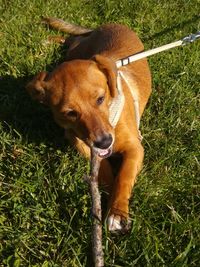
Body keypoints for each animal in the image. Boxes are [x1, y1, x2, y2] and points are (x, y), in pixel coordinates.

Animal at [27, 18, 152, 232]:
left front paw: (117, 212)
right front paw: (107, 195)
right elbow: (105, 171)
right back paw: (50, 39)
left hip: (79, 49)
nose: (104, 142)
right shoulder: (79, 142)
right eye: (70, 113)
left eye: (101, 99)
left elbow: (124, 176)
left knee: (73, 39)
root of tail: (105, 26)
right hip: (77, 50)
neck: (111, 116)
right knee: (71, 39)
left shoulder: (135, 148)